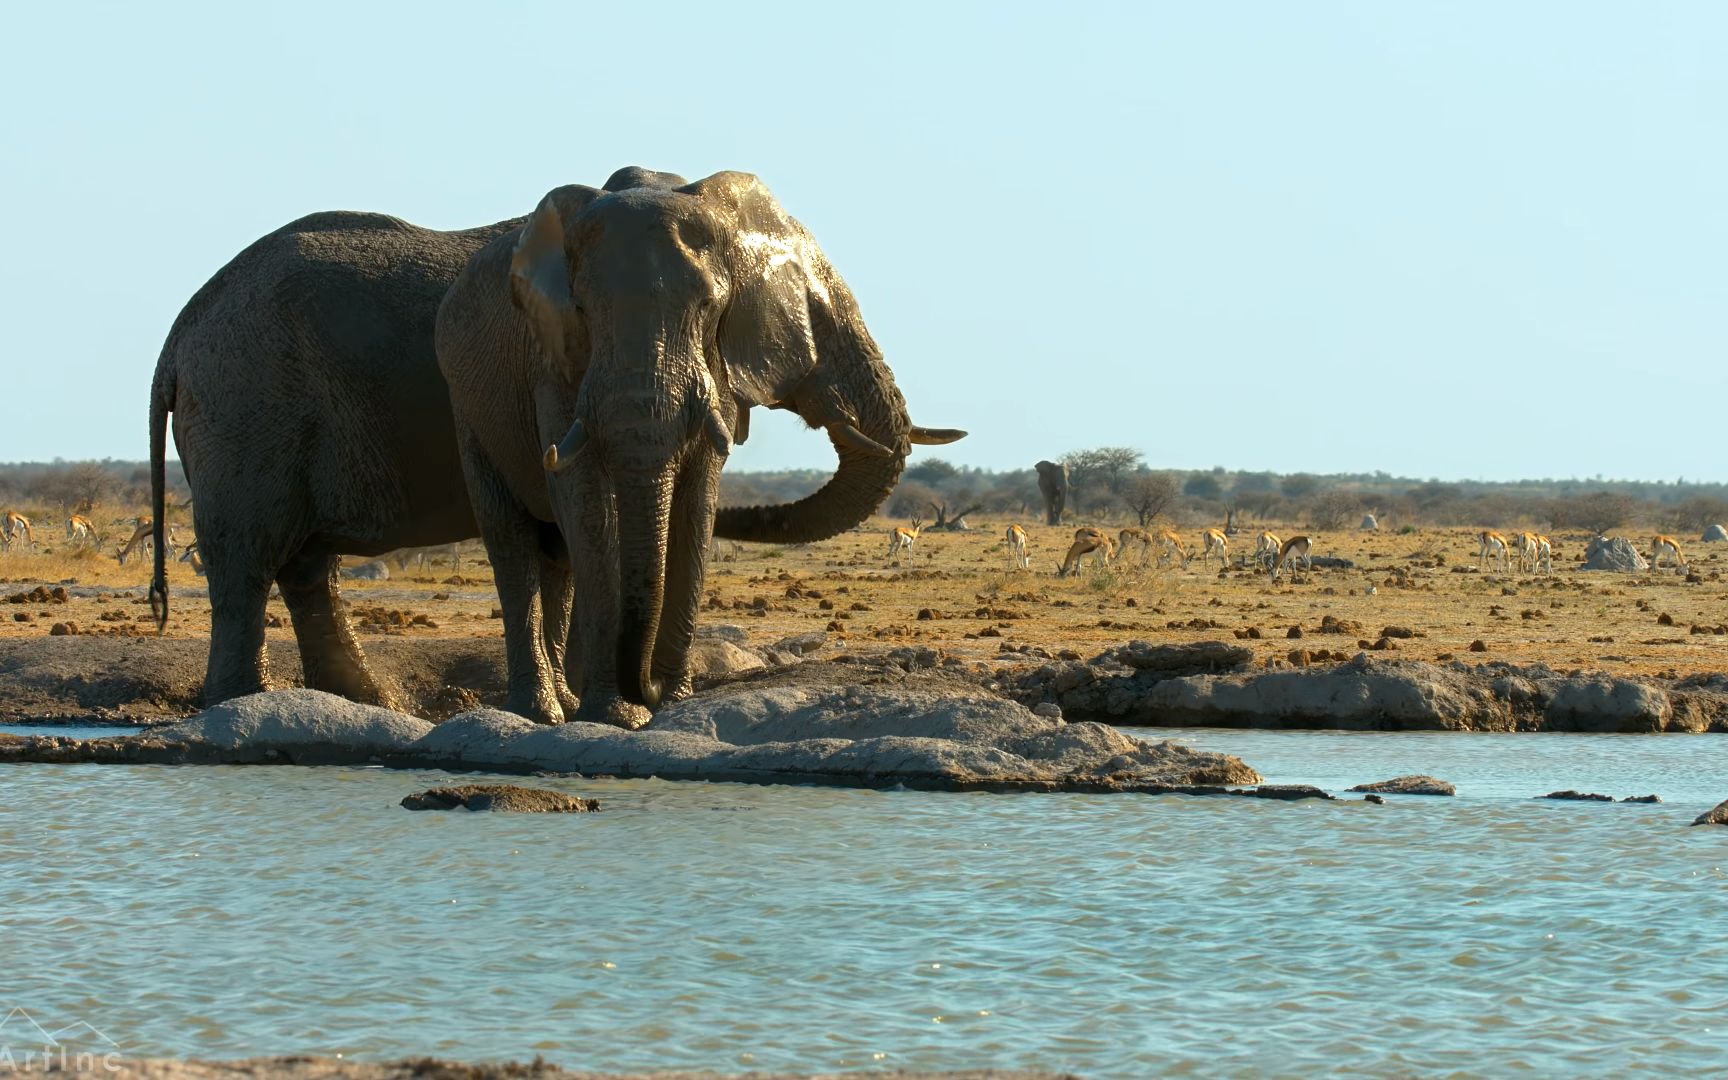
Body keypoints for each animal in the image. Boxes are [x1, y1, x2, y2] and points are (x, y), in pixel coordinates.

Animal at [143, 207, 580, 711]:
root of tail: (179, 336)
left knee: (306, 565)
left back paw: (365, 701)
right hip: (246, 407)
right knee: (246, 559)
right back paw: (246, 701)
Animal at [438, 166, 967, 725]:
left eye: (710, 307)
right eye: (579, 308)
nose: (646, 685)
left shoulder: (716, 365)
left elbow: (696, 499)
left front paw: (671, 700)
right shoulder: (551, 359)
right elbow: (586, 500)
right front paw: (618, 715)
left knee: (555, 552)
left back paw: (564, 703)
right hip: (463, 400)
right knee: (510, 536)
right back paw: (542, 711)